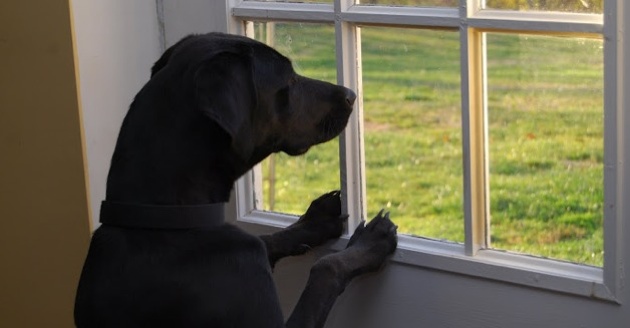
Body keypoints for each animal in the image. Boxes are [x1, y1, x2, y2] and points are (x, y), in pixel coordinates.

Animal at [75, 32, 400, 328]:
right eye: (290, 80)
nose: (351, 95)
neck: (164, 217)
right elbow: (325, 267)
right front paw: (370, 242)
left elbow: (266, 239)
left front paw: (315, 221)